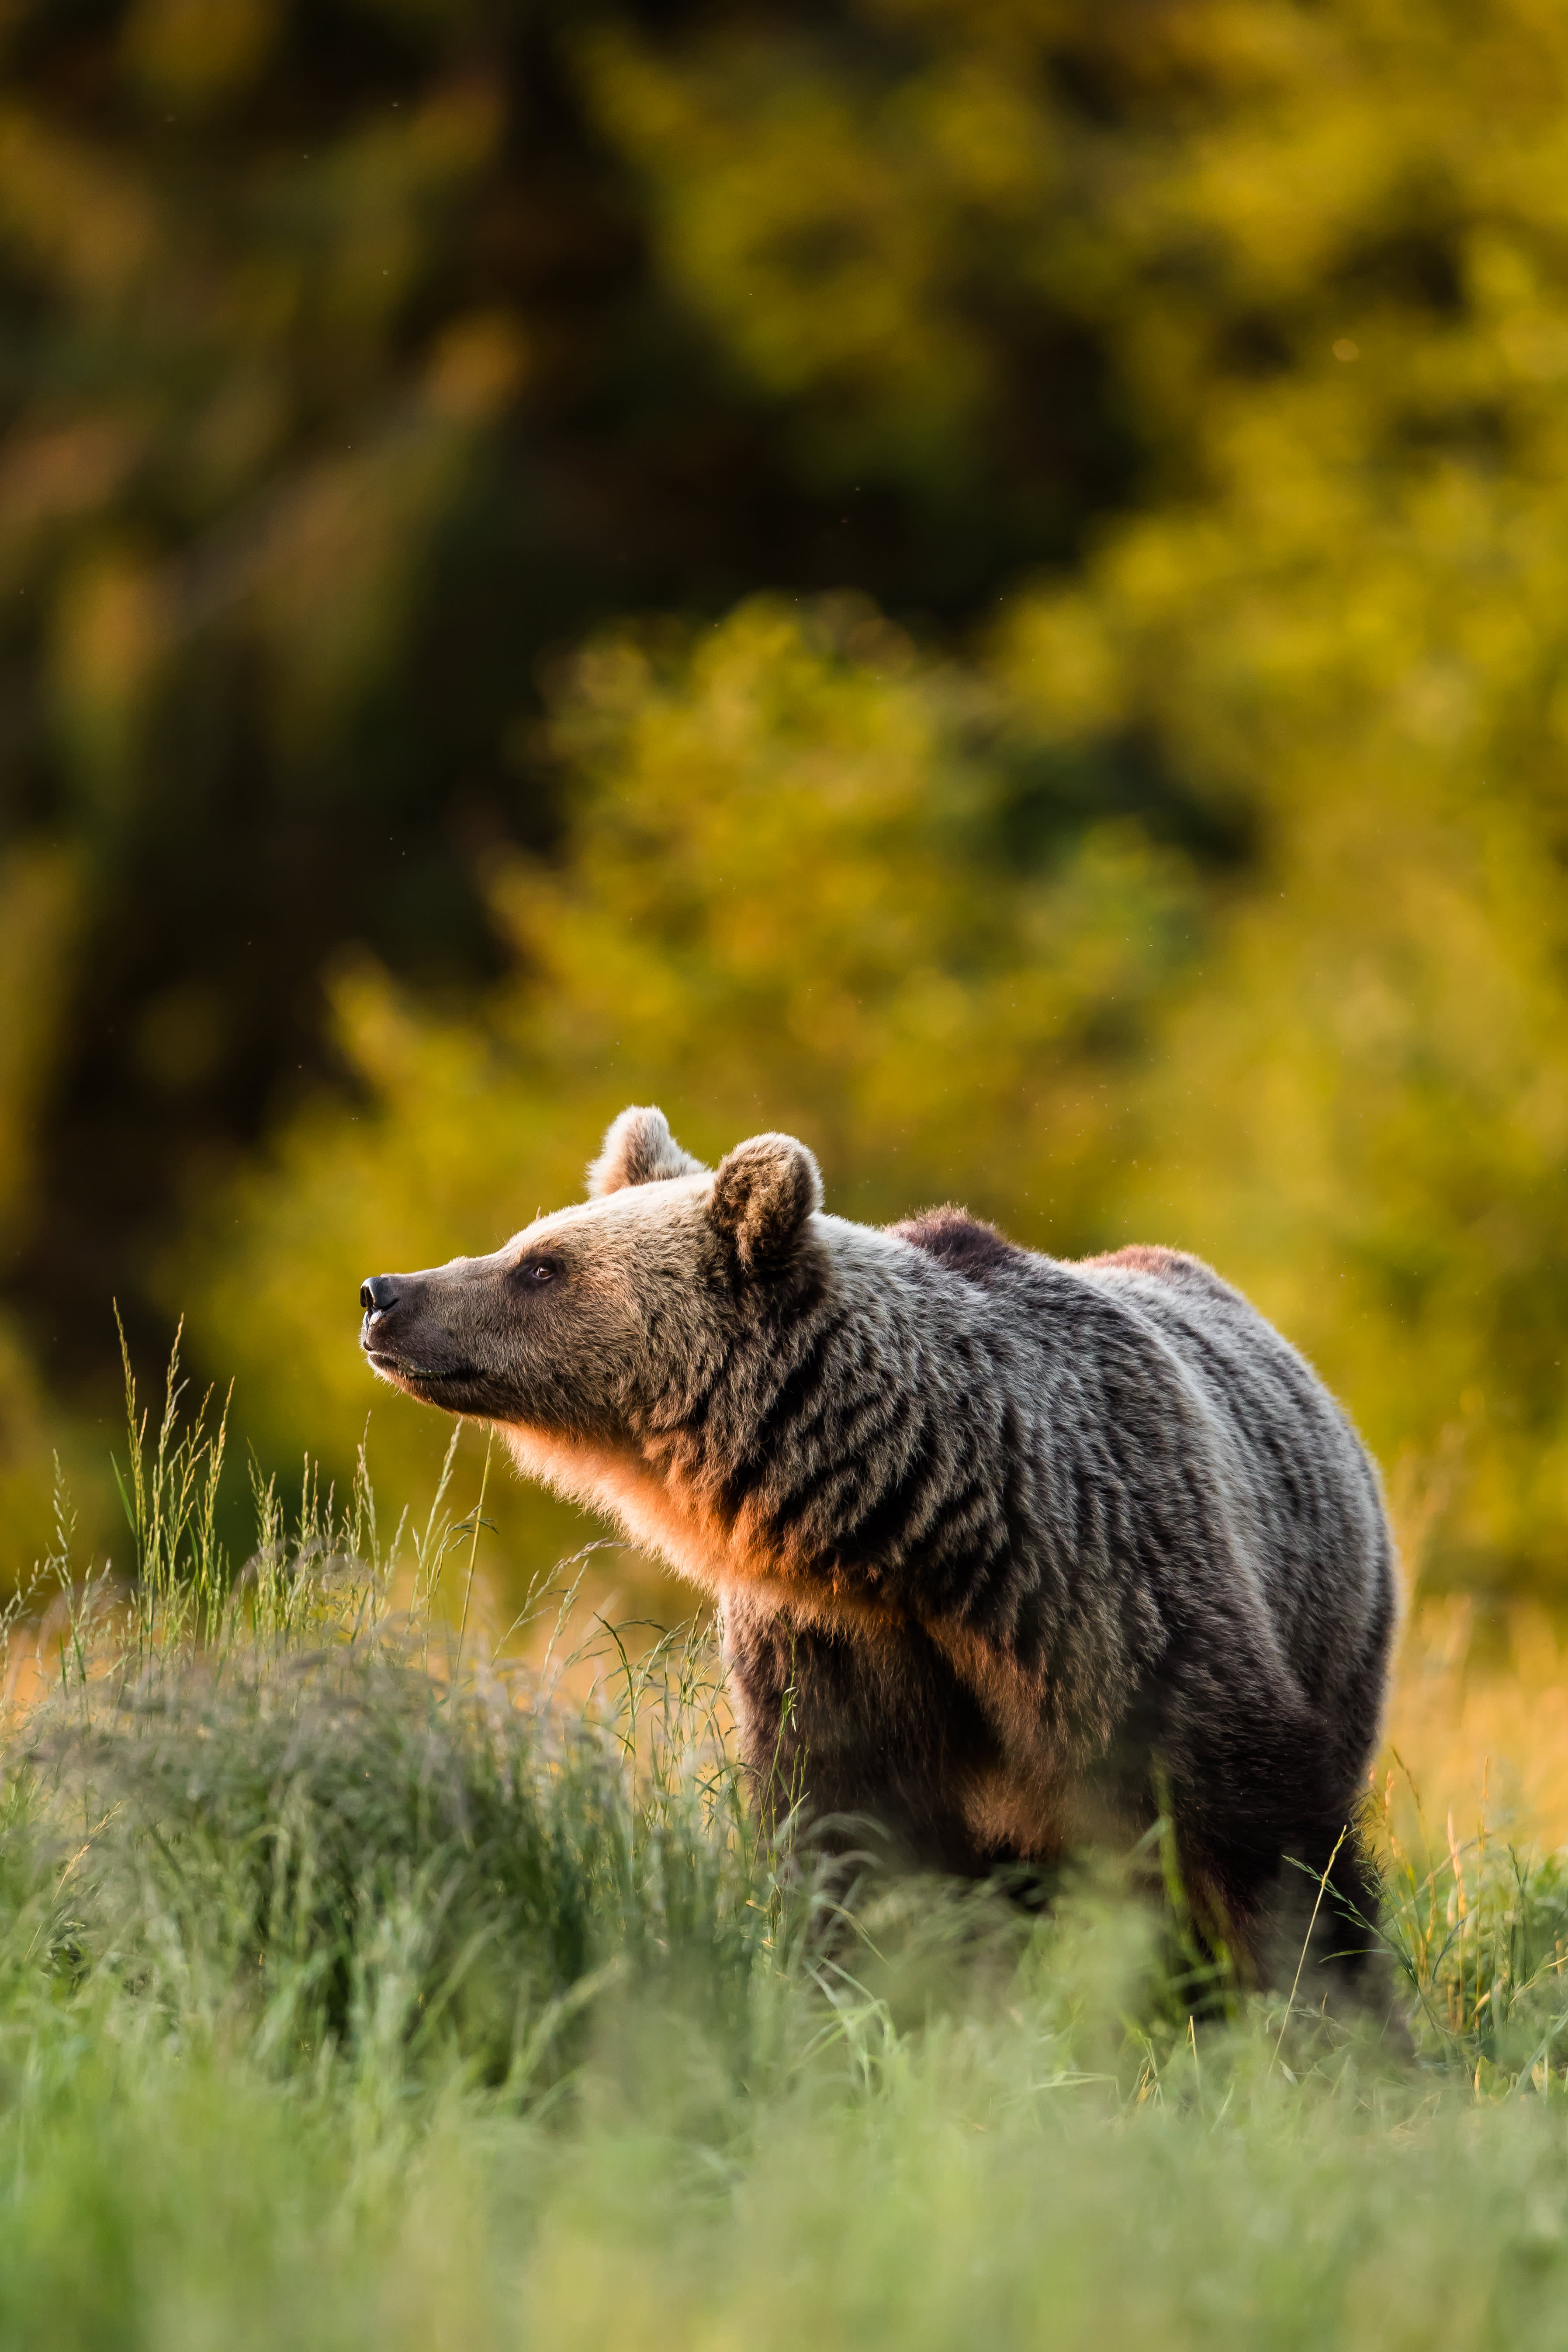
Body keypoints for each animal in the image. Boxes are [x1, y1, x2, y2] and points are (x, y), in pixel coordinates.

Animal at [359, 1105, 1398, 1979]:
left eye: (543, 1263)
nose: (383, 1291)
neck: (928, 1528)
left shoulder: (1114, 1592)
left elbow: (1251, 1830)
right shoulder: (835, 1647)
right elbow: (850, 1844)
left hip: (1339, 1621)